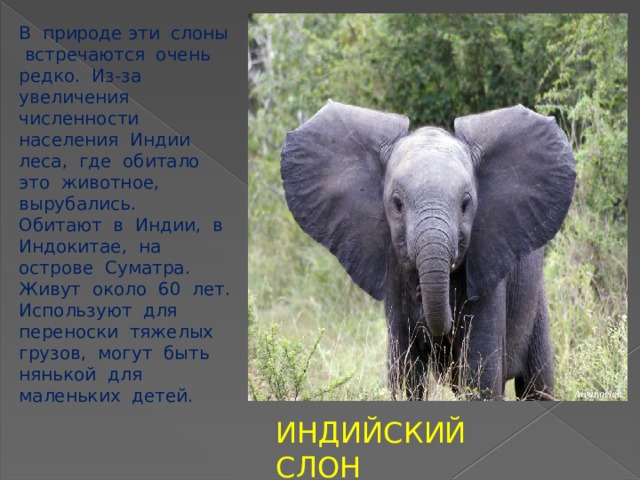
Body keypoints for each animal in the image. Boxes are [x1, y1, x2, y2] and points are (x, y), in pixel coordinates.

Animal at [280, 100, 575, 400]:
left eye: (466, 205)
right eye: (397, 203)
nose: (421, 293)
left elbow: (481, 376)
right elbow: (405, 374)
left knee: (537, 384)